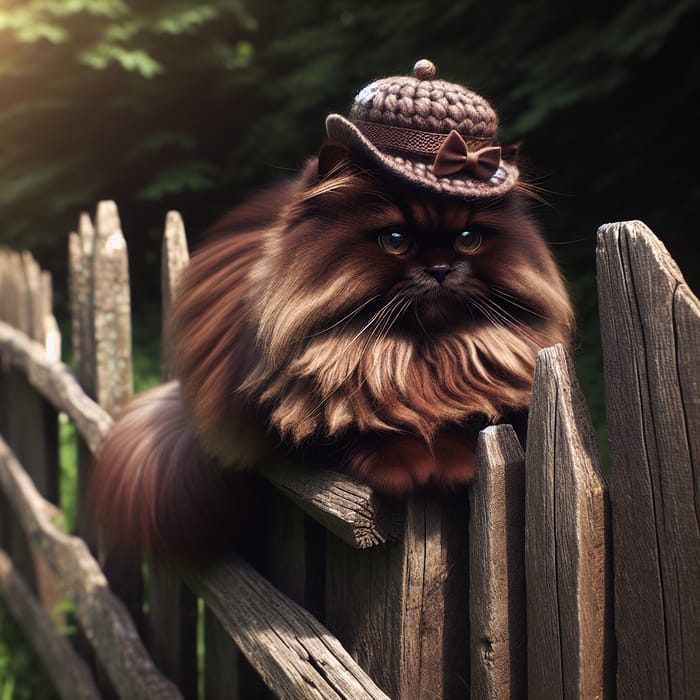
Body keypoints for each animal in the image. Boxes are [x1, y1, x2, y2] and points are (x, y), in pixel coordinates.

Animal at [89, 60, 576, 564]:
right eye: (395, 240)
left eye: (468, 238)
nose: (441, 269)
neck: (416, 357)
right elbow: (349, 429)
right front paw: (410, 462)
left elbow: (475, 416)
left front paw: (454, 458)